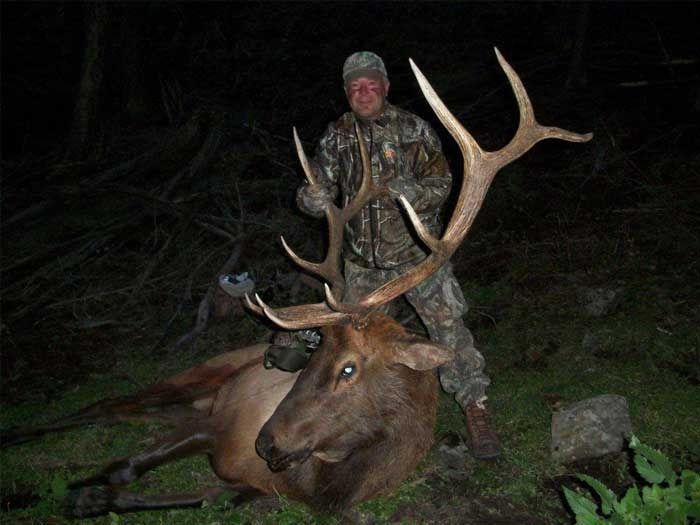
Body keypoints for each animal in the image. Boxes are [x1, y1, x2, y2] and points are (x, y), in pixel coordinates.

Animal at [1, 49, 592, 517]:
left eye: (349, 367)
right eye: (313, 356)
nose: (266, 443)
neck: (324, 486)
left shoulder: (249, 484)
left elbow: (183, 494)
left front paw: (89, 495)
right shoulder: (217, 423)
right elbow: (127, 465)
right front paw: (81, 489)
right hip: (199, 374)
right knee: (101, 407)